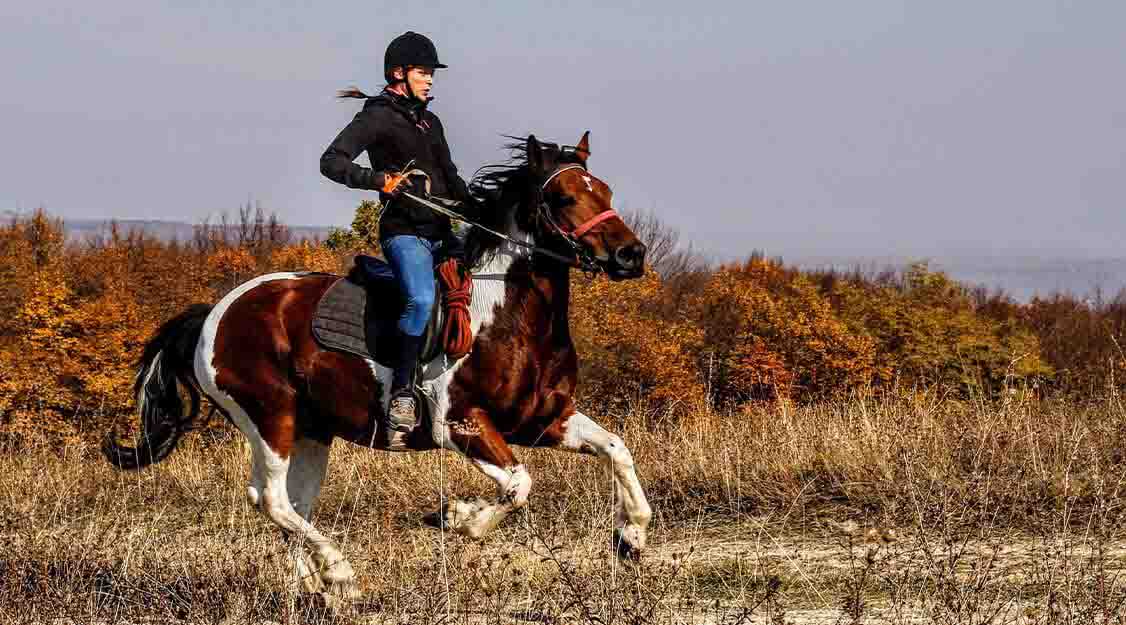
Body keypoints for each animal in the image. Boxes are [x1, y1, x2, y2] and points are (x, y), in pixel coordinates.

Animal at [105, 132, 657, 603]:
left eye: (605, 190)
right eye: (563, 197)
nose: (631, 255)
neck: (507, 314)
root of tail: (215, 313)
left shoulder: (543, 420)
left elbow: (617, 449)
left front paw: (630, 535)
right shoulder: (461, 424)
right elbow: (518, 486)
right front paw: (458, 517)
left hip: (312, 430)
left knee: (288, 505)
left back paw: (316, 587)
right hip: (270, 416)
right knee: (272, 500)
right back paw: (340, 573)